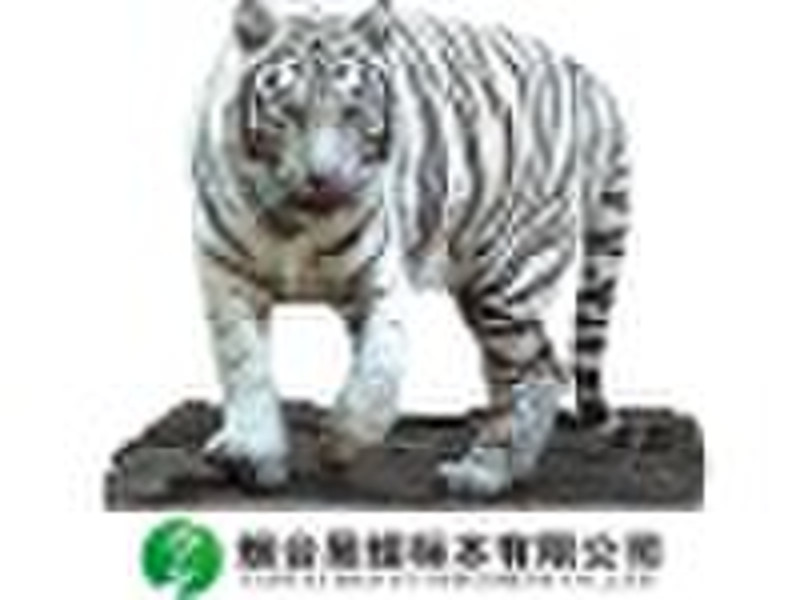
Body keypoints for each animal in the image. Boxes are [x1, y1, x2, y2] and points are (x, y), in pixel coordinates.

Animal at [192, 0, 632, 497]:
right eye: (289, 112)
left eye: (352, 112)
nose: (322, 177)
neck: (295, 219)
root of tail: (590, 84)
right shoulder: (225, 274)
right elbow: (243, 364)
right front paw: (254, 452)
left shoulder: (379, 280)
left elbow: (378, 369)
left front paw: (340, 442)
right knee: (545, 371)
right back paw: (514, 468)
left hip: (509, 278)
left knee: (521, 378)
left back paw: (482, 471)